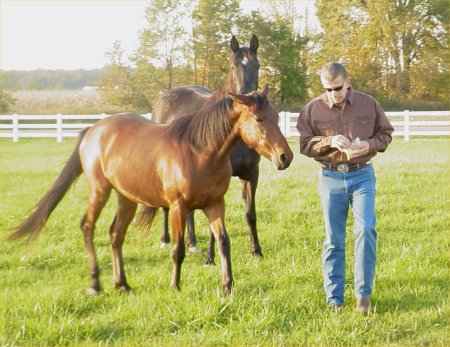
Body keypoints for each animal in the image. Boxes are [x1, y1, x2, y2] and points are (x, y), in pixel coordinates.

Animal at [9, 85, 296, 294]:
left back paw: (122, 284)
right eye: (259, 118)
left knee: (116, 235)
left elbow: (224, 242)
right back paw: (95, 284)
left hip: (126, 198)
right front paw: (175, 286)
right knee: (88, 227)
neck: (200, 151)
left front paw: (227, 286)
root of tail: (93, 129)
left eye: (276, 117)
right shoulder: (179, 207)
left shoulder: (215, 205)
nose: (285, 157)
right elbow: (178, 249)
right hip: (99, 191)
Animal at [153, 35, 264, 264]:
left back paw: (192, 243)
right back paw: (166, 240)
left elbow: (250, 213)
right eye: (233, 66)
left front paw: (256, 251)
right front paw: (211, 257)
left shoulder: (251, 173)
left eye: (257, 65)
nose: (247, 102)